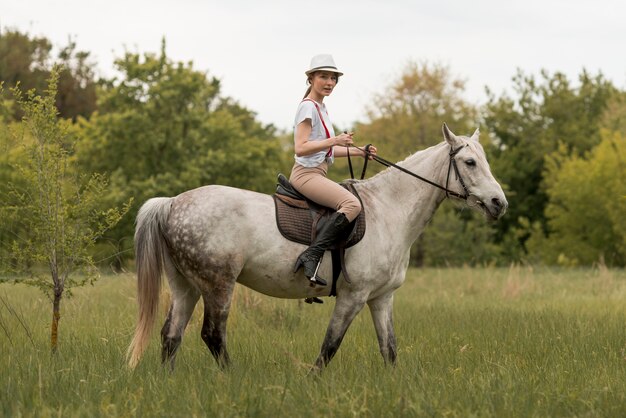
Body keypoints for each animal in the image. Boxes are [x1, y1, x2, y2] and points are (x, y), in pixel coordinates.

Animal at [127, 123, 508, 370]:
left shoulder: (382, 297)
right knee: (212, 336)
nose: (499, 203)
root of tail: (172, 203)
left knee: (171, 335)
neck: (388, 210)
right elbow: (329, 347)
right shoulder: (354, 296)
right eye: (470, 163)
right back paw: (231, 379)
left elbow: (389, 350)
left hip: (186, 286)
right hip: (218, 285)